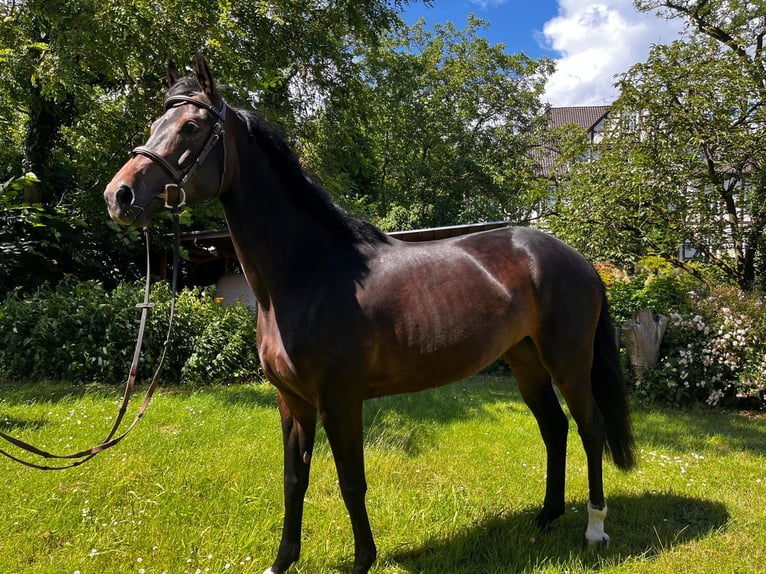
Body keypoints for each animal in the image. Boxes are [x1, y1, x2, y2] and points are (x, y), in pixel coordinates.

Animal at [105, 54, 640, 574]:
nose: (119, 195)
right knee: (554, 428)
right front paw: (283, 561)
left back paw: (594, 530)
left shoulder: (340, 400)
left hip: (568, 362)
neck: (308, 275)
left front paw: (363, 560)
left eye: (192, 127)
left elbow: (350, 481)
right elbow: (294, 480)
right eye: (155, 123)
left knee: (590, 429)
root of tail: (577, 260)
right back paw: (546, 517)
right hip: (525, 361)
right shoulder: (292, 402)